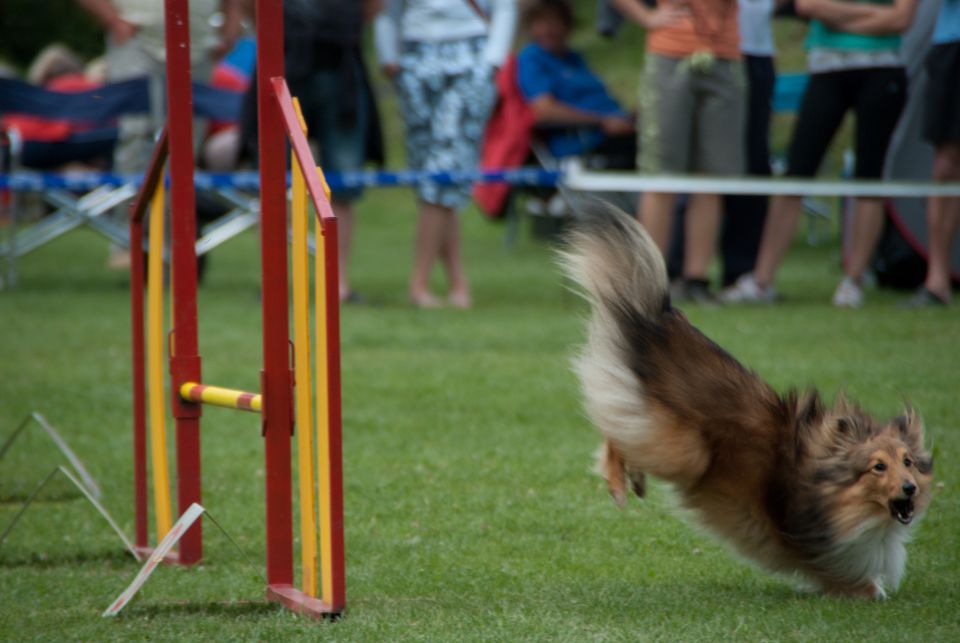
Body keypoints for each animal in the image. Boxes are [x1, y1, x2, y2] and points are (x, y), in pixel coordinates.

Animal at [560, 201, 932, 600]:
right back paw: (618, 484)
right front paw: (873, 591)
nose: (910, 488)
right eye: (878, 467)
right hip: (684, 451)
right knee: (614, 427)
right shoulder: (822, 551)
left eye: (908, 462)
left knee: (619, 420)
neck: (829, 485)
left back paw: (634, 480)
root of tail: (660, 321)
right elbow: (859, 580)